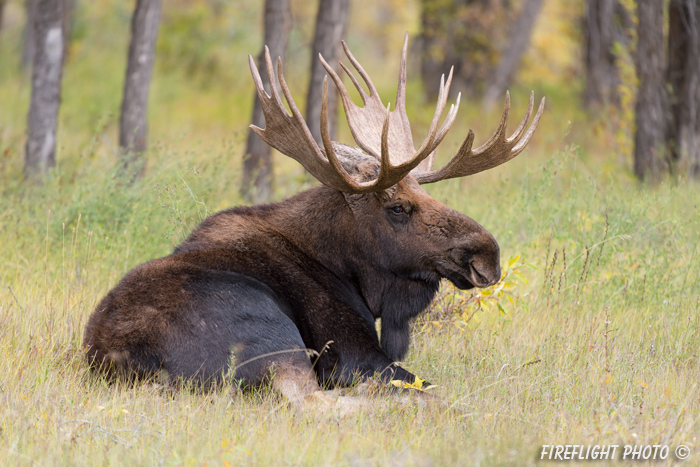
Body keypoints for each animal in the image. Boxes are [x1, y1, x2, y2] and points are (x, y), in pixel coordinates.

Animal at [83, 35, 548, 410]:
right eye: (397, 207)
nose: (488, 255)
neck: (352, 273)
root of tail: (132, 363)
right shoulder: (352, 350)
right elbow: (422, 384)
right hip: (272, 335)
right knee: (321, 403)